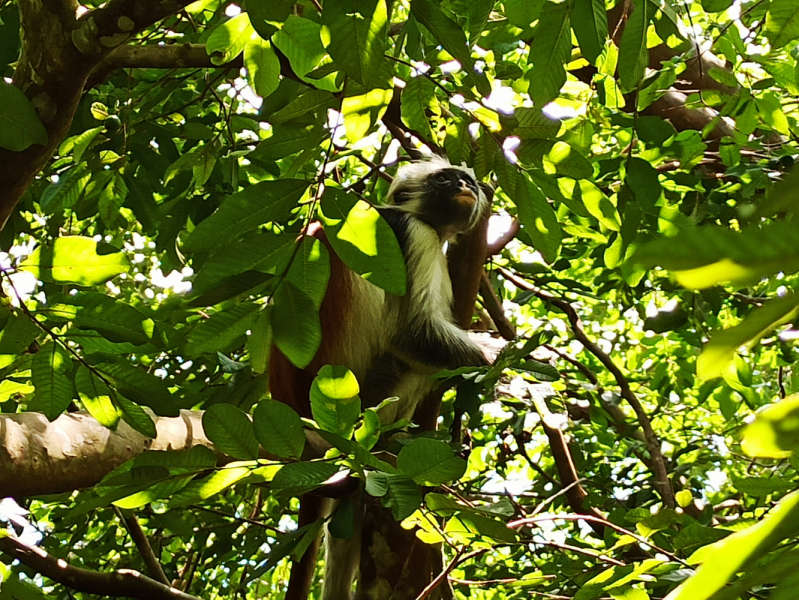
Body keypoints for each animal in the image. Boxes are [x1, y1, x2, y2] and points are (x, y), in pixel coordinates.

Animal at [272, 157, 490, 596]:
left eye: (468, 181)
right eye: (444, 178)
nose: (464, 186)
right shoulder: (413, 234)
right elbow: (412, 333)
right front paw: (501, 358)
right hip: (364, 404)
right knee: (411, 363)